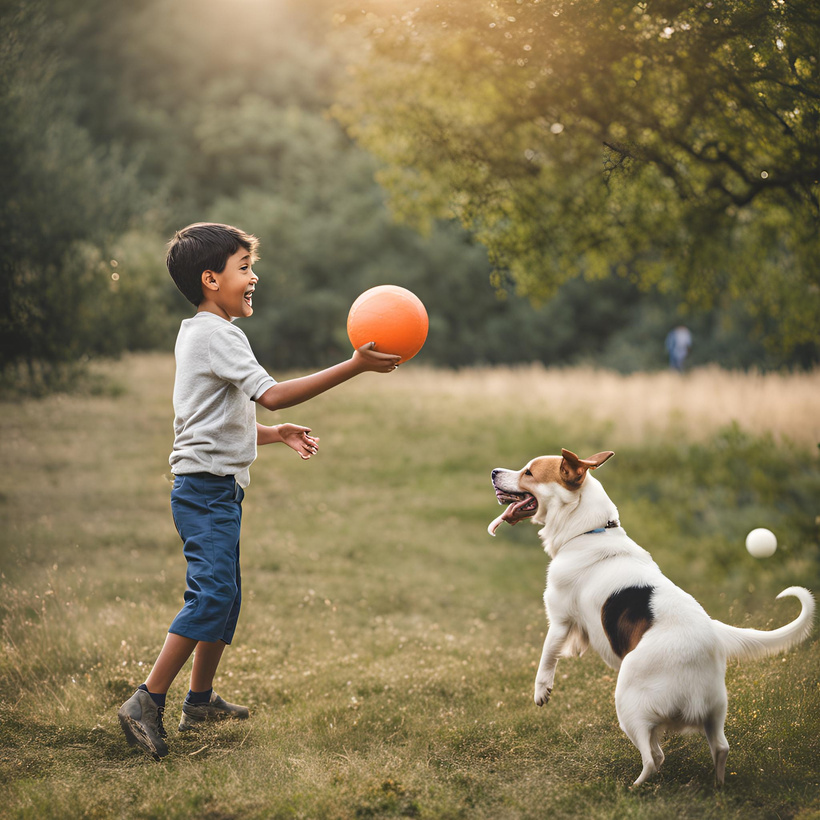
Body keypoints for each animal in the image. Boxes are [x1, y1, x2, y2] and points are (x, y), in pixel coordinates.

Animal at [486, 452, 812, 784]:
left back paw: (635, 786)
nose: (494, 471)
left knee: (654, 757)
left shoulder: (560, 619)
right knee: (719, 748)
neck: (587, 531)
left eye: (528, 472)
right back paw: (718, 785)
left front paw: (541, 691)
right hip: (714, 712)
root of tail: (710, 637)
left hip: (629, 705)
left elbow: (546, 658)